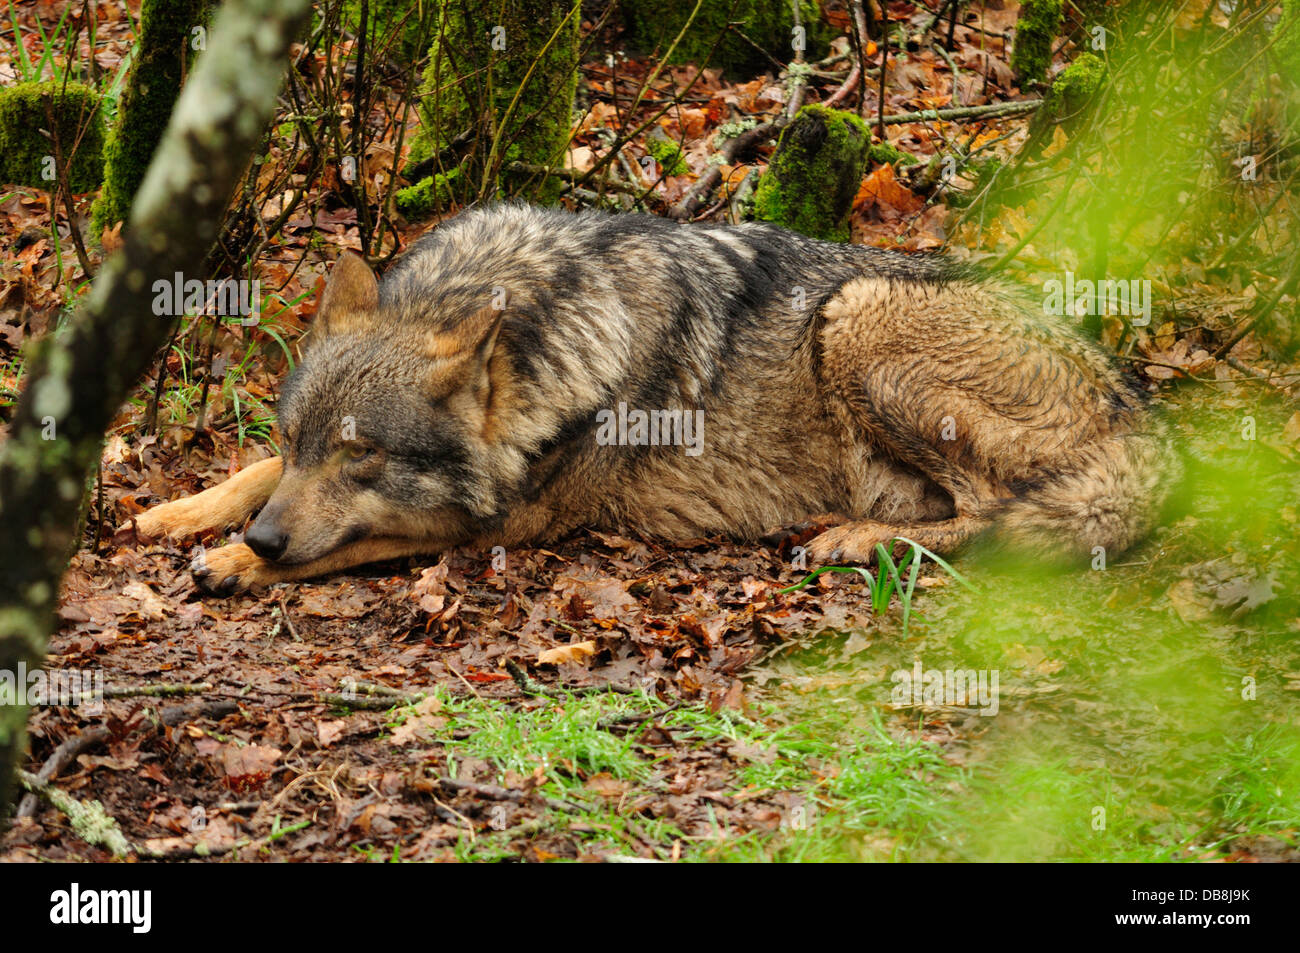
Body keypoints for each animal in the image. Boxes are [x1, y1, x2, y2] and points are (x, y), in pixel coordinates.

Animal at [134, 203, 1169, 594]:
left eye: (365, 458)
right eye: (302, 441)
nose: (268, 539)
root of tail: (1143, 413)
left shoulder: (506, 522)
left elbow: (358, 538)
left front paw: (233, 559)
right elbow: (247, 473)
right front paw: (176, 511)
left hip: (854, 316)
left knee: (991, 513)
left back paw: (856, 538)